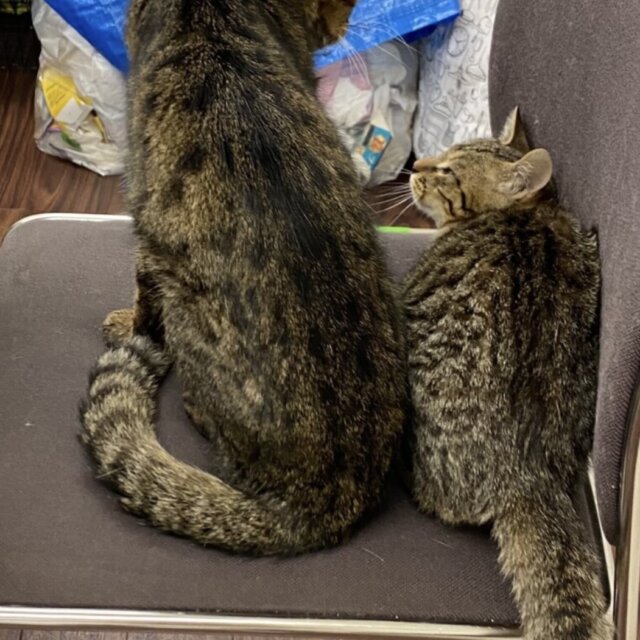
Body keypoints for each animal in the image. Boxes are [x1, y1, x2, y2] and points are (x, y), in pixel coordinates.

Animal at [80, 0, 407, 555]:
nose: (345, 24)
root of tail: (331, 496)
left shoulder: (147, 223)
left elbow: (143, 303)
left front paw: (126, 323)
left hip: (185, 301)